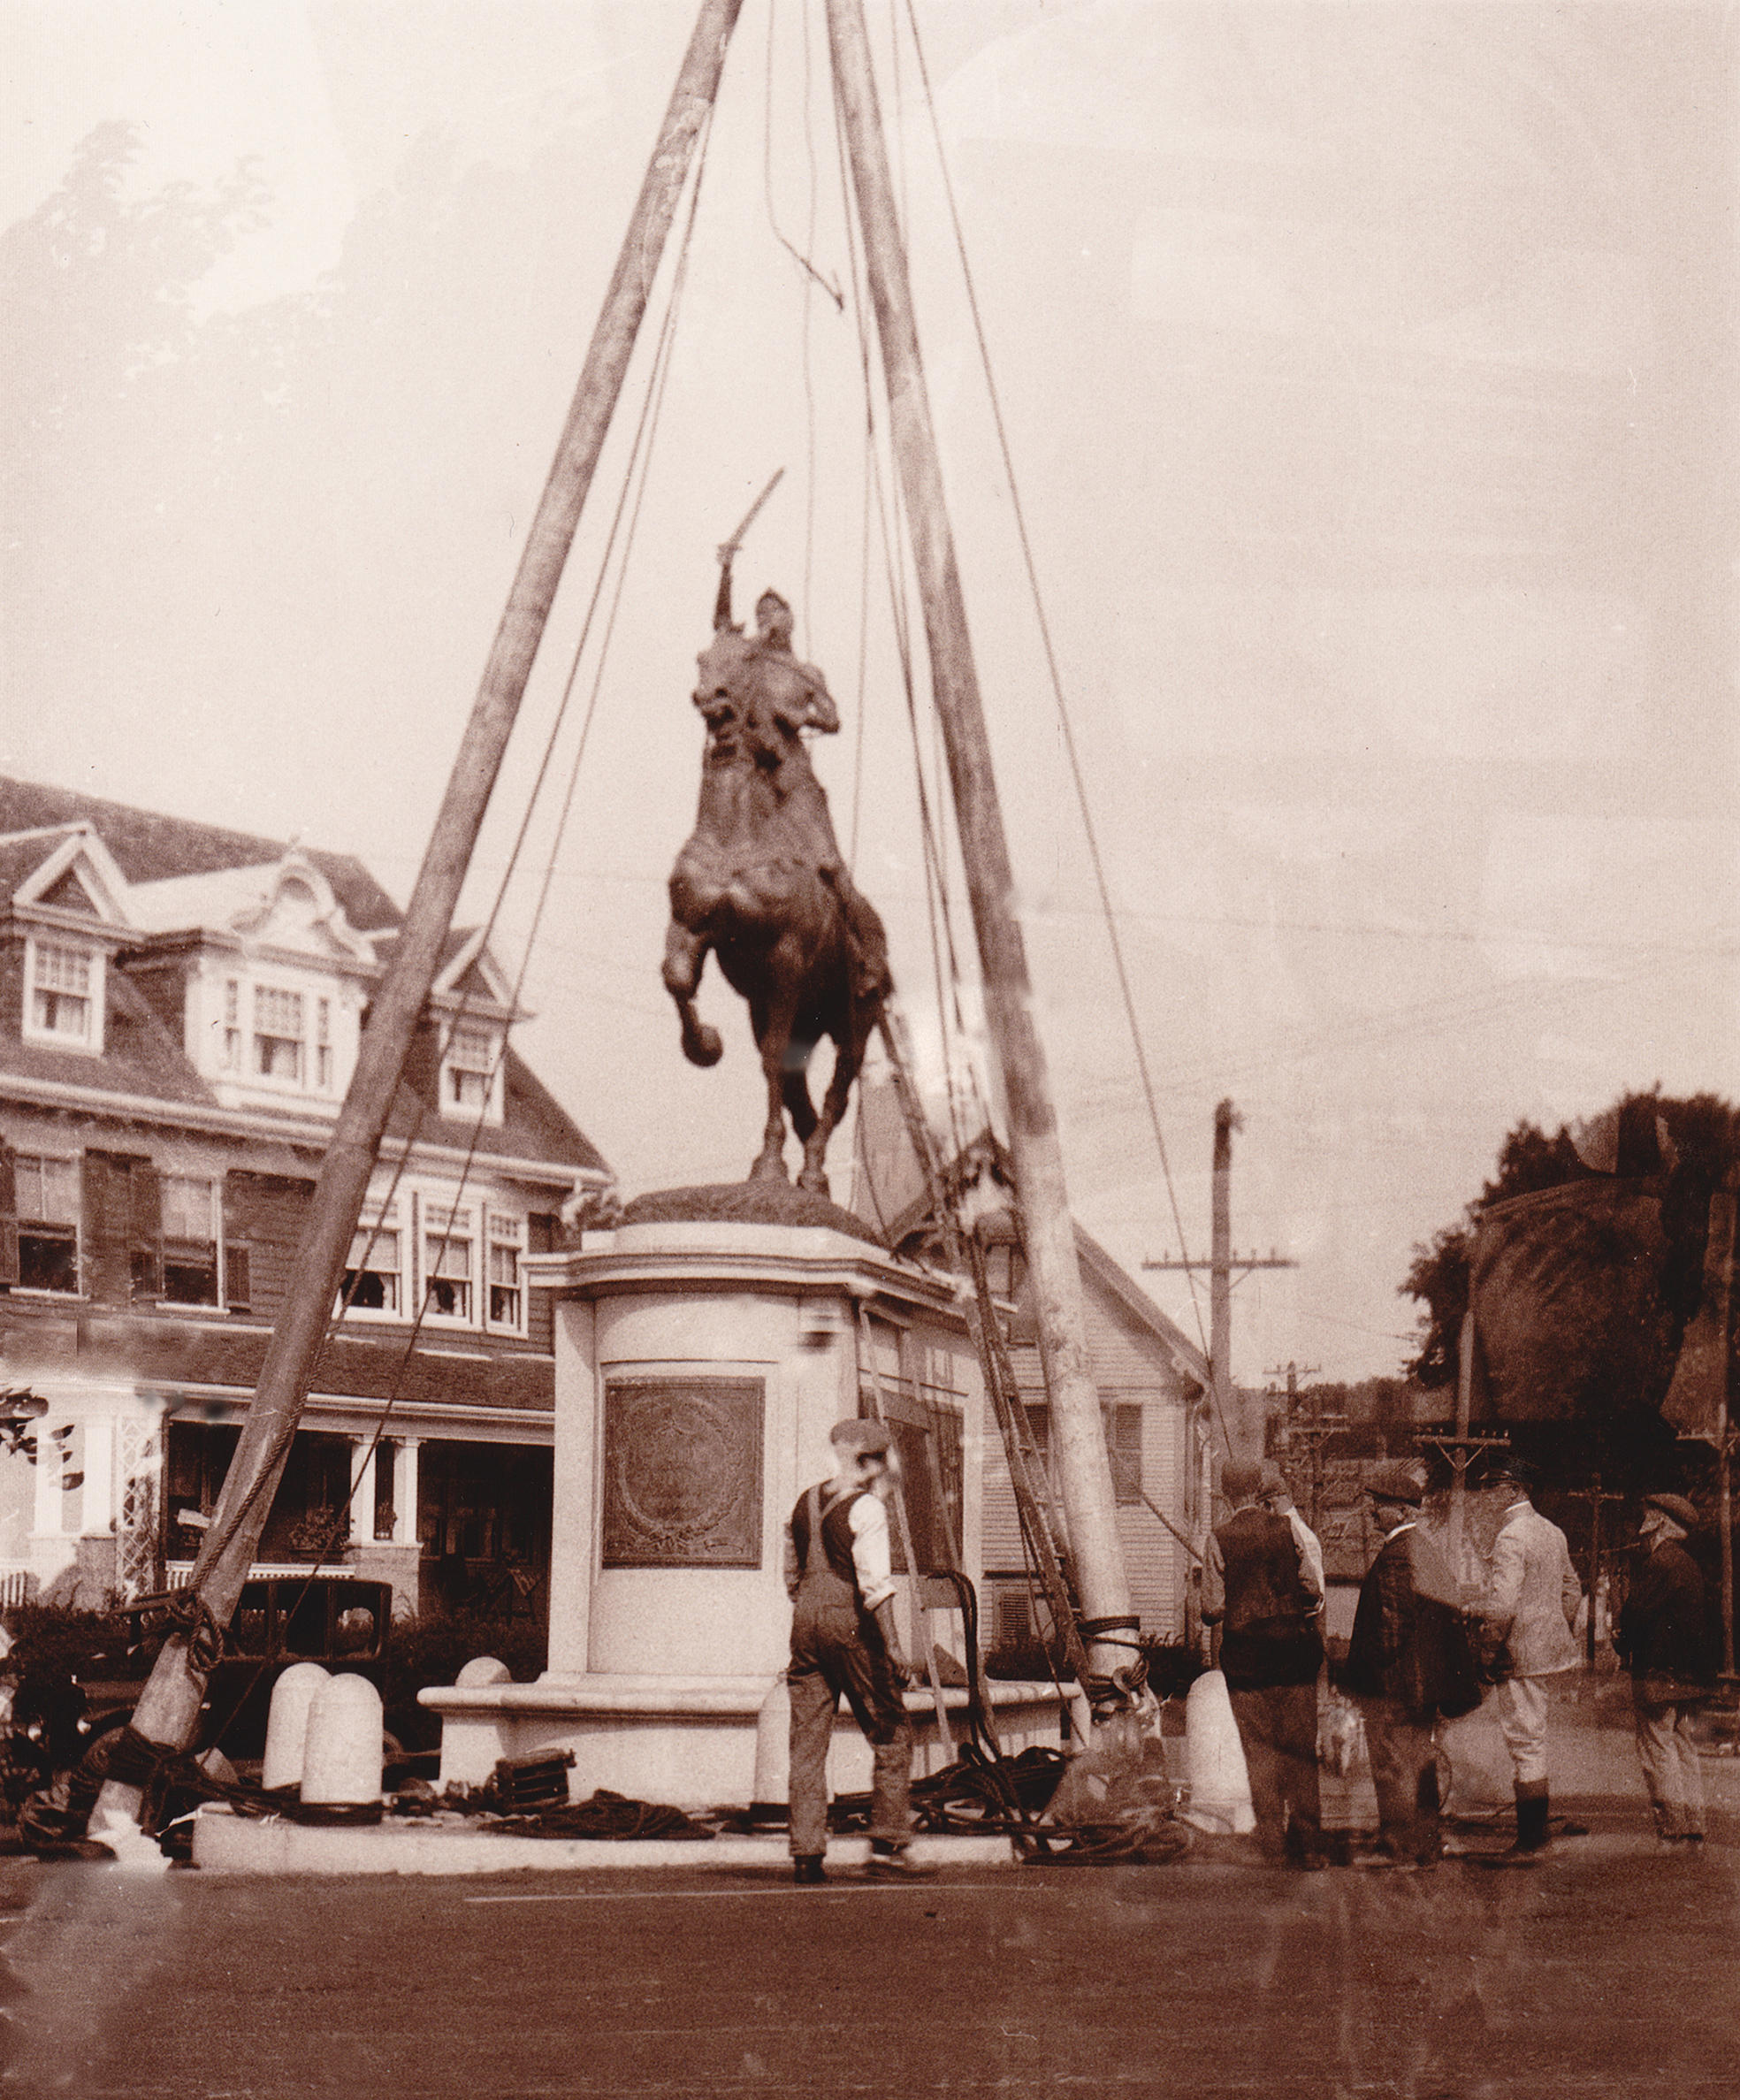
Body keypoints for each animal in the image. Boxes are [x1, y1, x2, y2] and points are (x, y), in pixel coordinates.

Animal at [659, 592, 889, 1201]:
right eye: (702, 657)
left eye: (744, 663)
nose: (711, 700)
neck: (735, 837)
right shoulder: (691, 928)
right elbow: (678, 980)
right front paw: (704, 1044)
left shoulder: (785, 961)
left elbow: (768, 1063)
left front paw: (768, 1165)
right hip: (800, 1017)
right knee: (799, 1087)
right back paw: (812, 1171)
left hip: (853, 1023)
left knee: (836, 1092)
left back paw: (810, 1168)